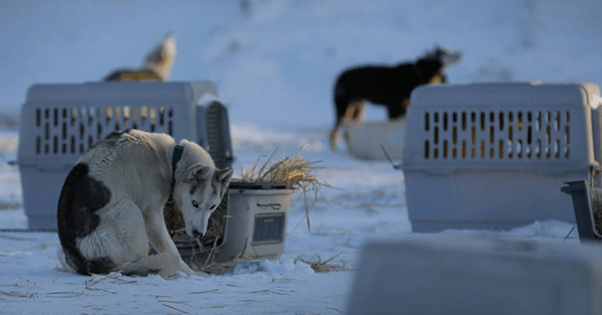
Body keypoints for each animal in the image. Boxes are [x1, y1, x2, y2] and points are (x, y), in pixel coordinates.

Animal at [57, 130, 232, 278]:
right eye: (194, 203)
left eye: (212, 207)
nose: (198, 234)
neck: (169, 158)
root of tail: (85, 263)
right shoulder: (151, 215)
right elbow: (174, 251)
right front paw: (191, 273)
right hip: (128, 209)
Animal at [328, 46, 460, 150]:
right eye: (444, 54)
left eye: (448, 51)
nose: (460, 53)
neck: (415, 76)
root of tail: (339, 76)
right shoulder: (394, 107)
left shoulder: (402, 107)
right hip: (344, 108)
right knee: (334, 131)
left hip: (358, 110)